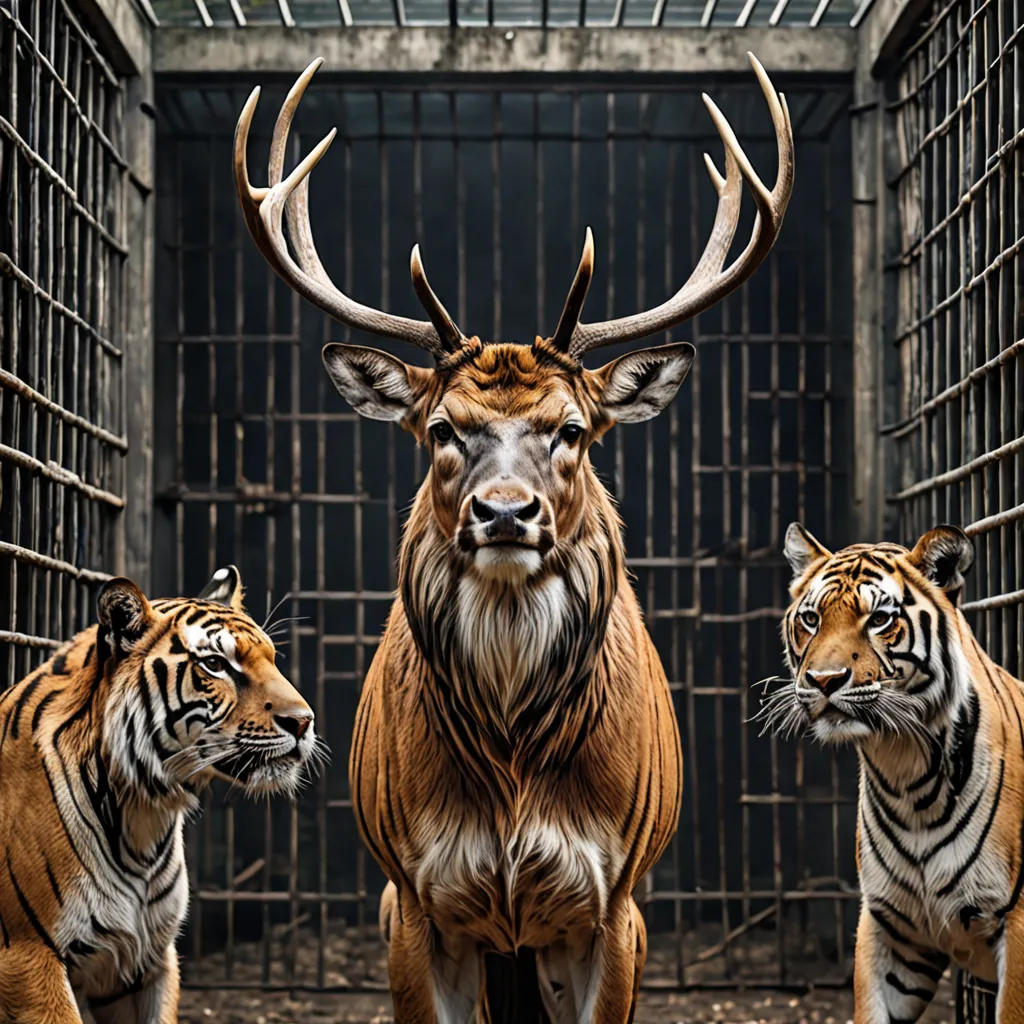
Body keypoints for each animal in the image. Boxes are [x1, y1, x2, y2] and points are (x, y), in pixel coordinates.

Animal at [0, 567, 320, 1023]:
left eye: (272, 659)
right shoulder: (29, 954)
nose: (304, 721)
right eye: (215, 664)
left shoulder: (145, 959)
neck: (144, 816)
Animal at [234, 54, 793, 1024]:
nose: (503, 513)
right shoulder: (413, 894)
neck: (512, 773)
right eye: (442, 429)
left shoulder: (615, 898)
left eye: (571, 428)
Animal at [758, 522, 1024, 1023]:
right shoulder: (889, 925)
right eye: (811, 619)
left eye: (880, 619)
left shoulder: (1015, 921)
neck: (904, 769)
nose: (824, 680)